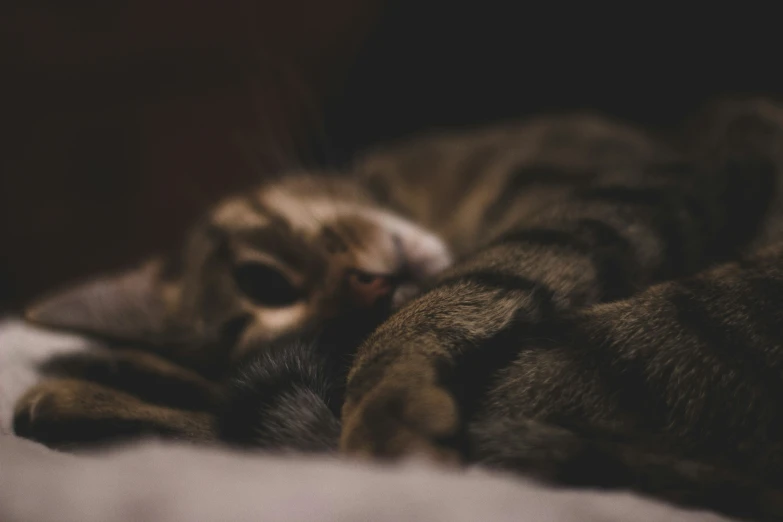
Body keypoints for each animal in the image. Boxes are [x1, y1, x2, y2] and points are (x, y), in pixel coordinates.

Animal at [10, 96, 783, 516]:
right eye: (325, 322)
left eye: (265, 282)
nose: (370, 290)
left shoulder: (641, 177)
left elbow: (456, 294)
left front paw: (387, 406)